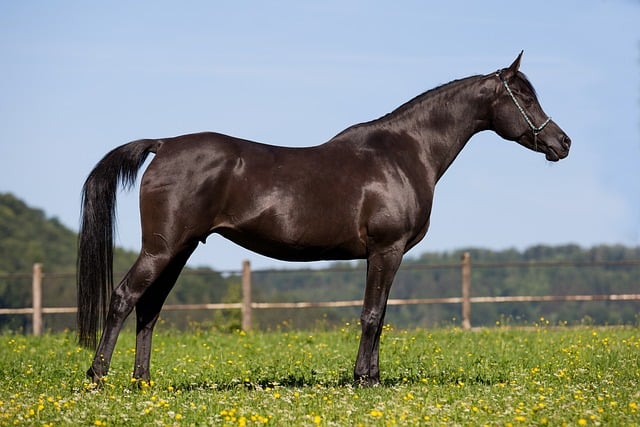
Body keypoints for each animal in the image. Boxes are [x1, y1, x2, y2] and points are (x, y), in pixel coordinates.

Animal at [77, 52, 570, 385]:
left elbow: (380, 315)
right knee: (123, 298)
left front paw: (371, 376)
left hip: (178, 251)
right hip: (161, 249)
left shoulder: (383, 255)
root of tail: (164, 144)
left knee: (149, 308)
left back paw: (143, 381)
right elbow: (371, 315)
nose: (562, 143)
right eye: (523, 95)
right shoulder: (386, 250)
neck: (404, 153)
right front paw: (364, 379)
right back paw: (97, 377)